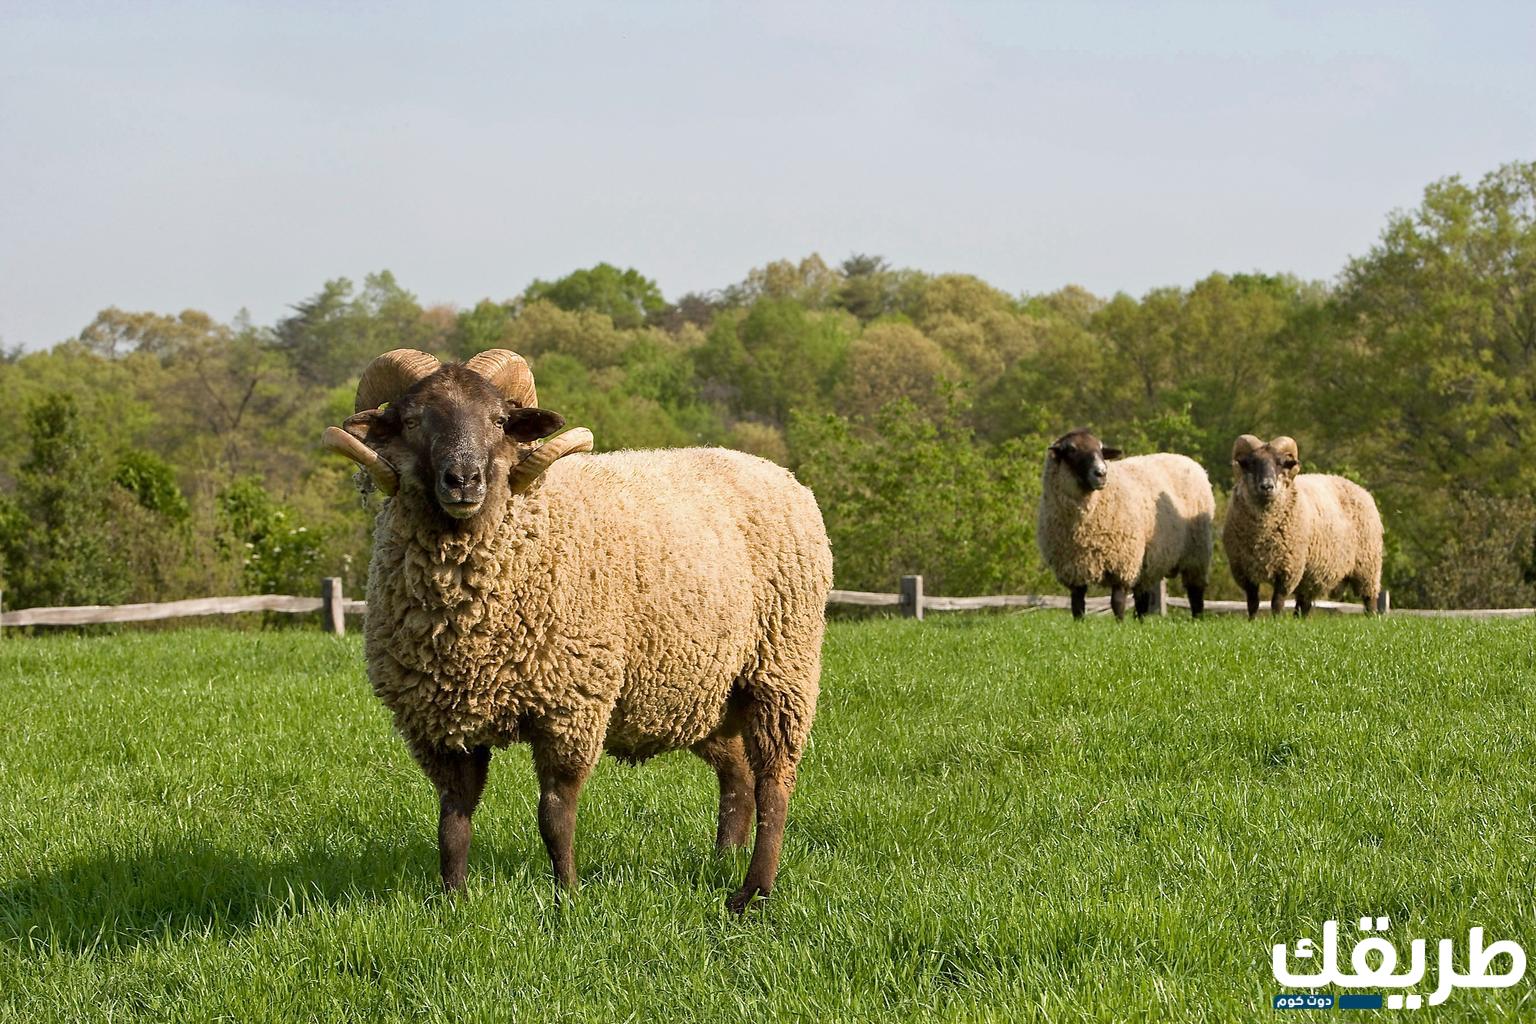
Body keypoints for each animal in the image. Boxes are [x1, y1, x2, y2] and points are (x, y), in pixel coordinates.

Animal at [1038, 429, 1216, 620]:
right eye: (1072, 449)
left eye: (1101, 449)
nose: (1101, 473)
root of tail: (1186, 459)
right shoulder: (1073, 569)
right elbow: (1077, 605)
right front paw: (1080, 623)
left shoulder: (1122, 562)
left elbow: (1117, 601)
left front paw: (1119, 623)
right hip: (1147, 562)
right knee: (1142, 596)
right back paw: (1140, 620)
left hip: (1196, 552)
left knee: (1195, 591)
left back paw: (1197, 618)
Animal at [1216, 436, 1388, 617]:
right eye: (1251, 463)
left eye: (1281, 463)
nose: (1267, 486)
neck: (1262, 532)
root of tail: (1362, 489)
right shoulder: (1245, 570)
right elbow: (1252, 603)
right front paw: (1252, 621)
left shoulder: (1288, 569)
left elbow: (1277, 602)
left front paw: (1275, 621)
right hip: (1312, 573)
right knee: (1304, 603)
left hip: (1367, 566)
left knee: (1370, 599)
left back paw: (1372, 617)